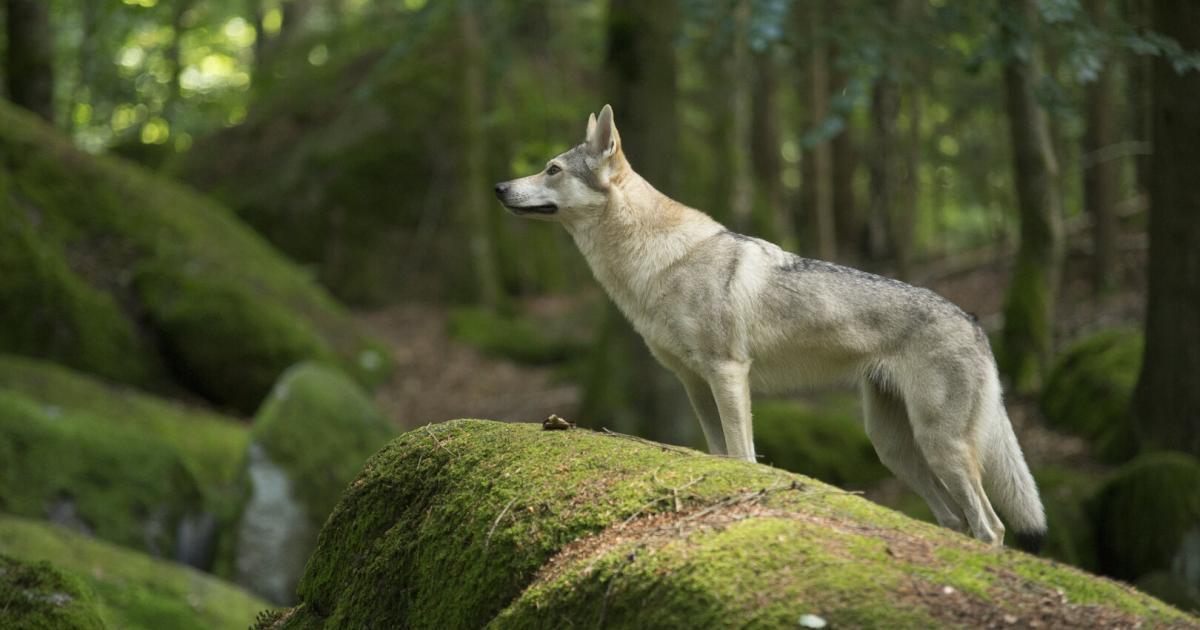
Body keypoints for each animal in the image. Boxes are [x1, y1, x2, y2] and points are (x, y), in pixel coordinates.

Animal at [492, 105, 1046, 547]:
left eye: (551, 168)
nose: (498, 186)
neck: (656, 262)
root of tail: (976, 323)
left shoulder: (728, 372)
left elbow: (743, 456)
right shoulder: (694, 383)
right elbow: (719, 454)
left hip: (939, 446)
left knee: (991, 526)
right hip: (895, 449)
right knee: (956, 521)